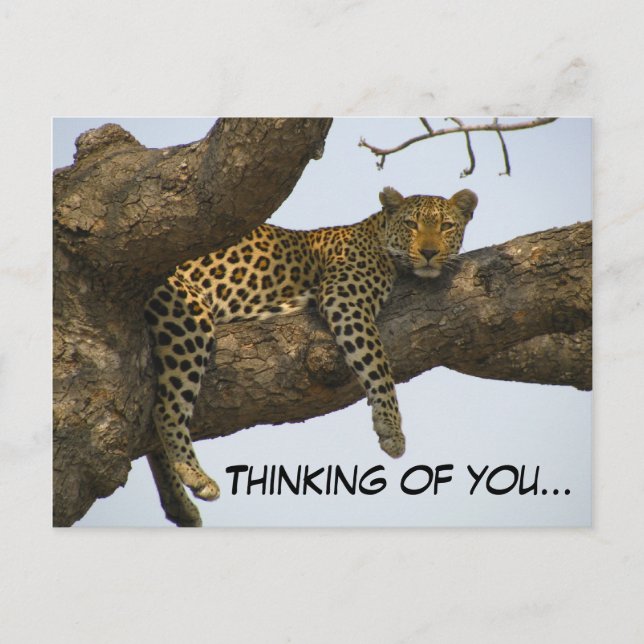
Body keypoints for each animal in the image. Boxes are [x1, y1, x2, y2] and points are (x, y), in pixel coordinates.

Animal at [144, 187, 477, 525]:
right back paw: (194, 474)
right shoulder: (344, 298)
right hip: (188, 311)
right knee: (166, 408)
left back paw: (180, 505)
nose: (429, 252)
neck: (378, 235)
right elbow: (377, 362)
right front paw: (391, 429)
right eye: (411, 224)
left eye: (446, 227)